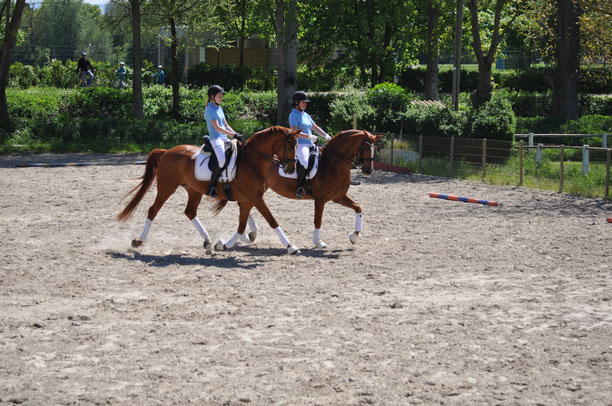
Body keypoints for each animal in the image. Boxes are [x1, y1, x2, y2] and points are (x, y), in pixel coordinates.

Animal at [116, 127, 302, 254]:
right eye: (290, 146)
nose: (291, 169)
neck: (251, 162)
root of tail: (167, 152)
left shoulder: (248, 199)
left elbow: (242, 224)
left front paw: (226, 243)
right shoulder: (255, 198)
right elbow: (271, 220)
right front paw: (291, 246)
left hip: (194, 190)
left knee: (190, 211)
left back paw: (207, 241)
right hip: (166, 188)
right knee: (153, 210)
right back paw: (139, 241)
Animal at [213, 130, 380, 251]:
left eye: (375, 148)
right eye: (366, 147)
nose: (368, 171)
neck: (331, 163)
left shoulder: (339, 196)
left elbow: (358, 207)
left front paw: (354, 236)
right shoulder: (321, 199)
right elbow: (318, 220)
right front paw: (318, 242)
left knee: (244, 205)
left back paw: (248, 235)